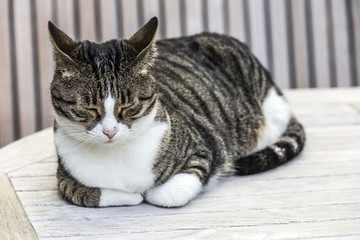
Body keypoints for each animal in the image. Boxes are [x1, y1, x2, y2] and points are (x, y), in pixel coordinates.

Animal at [49, 17, 306, 208]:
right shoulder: (63, 178)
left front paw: (144, 193)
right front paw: (129, 195)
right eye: (89, 108)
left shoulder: (204, 148)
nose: (110, 131)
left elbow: (166, 194)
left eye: (128, 106)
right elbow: (83, 193)